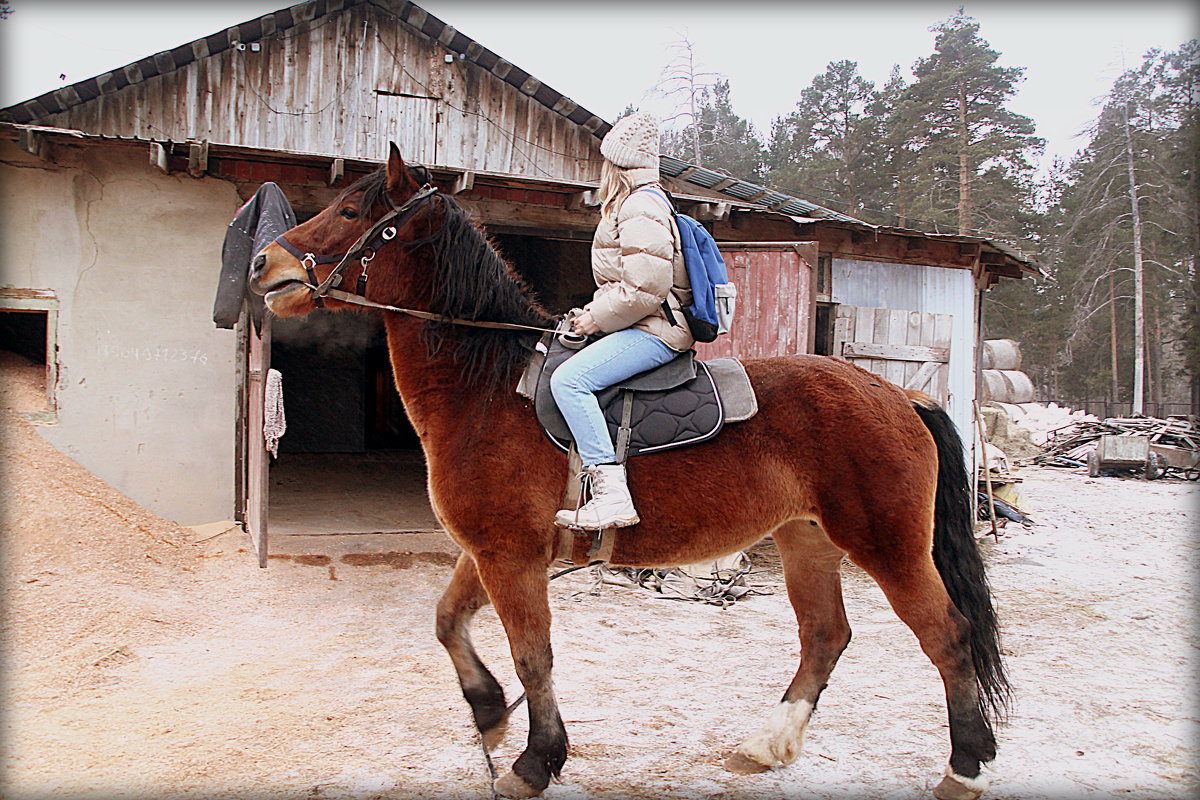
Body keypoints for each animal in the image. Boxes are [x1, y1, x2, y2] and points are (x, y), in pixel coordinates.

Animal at [253, 143, 1012, 800]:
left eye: (353, 210)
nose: (264, 264)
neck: (488, 389)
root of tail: (899, 395)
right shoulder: (488, 551)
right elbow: (447, 624)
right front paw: (490, 713)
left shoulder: (510, 556)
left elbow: (534, 654)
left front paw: (535, 762)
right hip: (807, 539)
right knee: (826, 636)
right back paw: (769, 744)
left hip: (887, 547)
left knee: (947, 636)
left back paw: (966, 767)